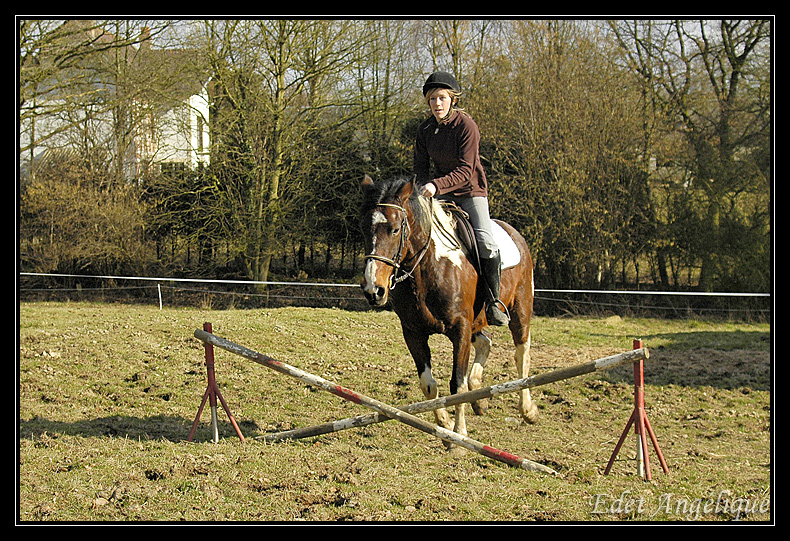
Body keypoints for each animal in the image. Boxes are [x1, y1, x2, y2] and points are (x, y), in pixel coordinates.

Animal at [360, 173, 540, 442]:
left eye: (395, 229)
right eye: (364, 229)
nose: (374, 290)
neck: (427, 269)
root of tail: (514, 233)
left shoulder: (460, 328)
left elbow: (457, 384)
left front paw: (458, 436)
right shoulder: (413, 332)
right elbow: (428, 385)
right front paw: (444, 424)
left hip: (520, 309)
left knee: (521, 354)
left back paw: (527, 409)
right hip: (478, 321)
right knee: (485, 343)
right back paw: (479, 397)